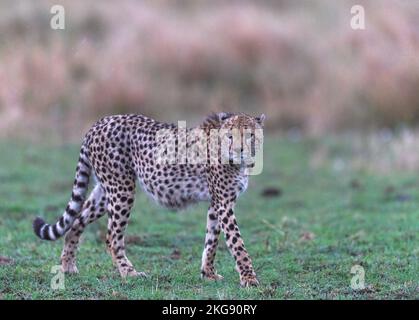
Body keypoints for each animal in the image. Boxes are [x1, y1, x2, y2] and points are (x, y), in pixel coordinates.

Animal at [35, 112, 266, 288]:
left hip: (106, 190)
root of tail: (101, 121)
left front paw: (208, 273)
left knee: (76, 221)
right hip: (122, 189)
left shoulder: (217, 203)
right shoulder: (224, 204)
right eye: (229, 136)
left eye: (250, 135)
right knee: (112, 237)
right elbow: (237, 243)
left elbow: (212, 240)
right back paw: (129, 273)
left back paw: (68, 266)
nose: (238, 150)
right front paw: (249, 279)